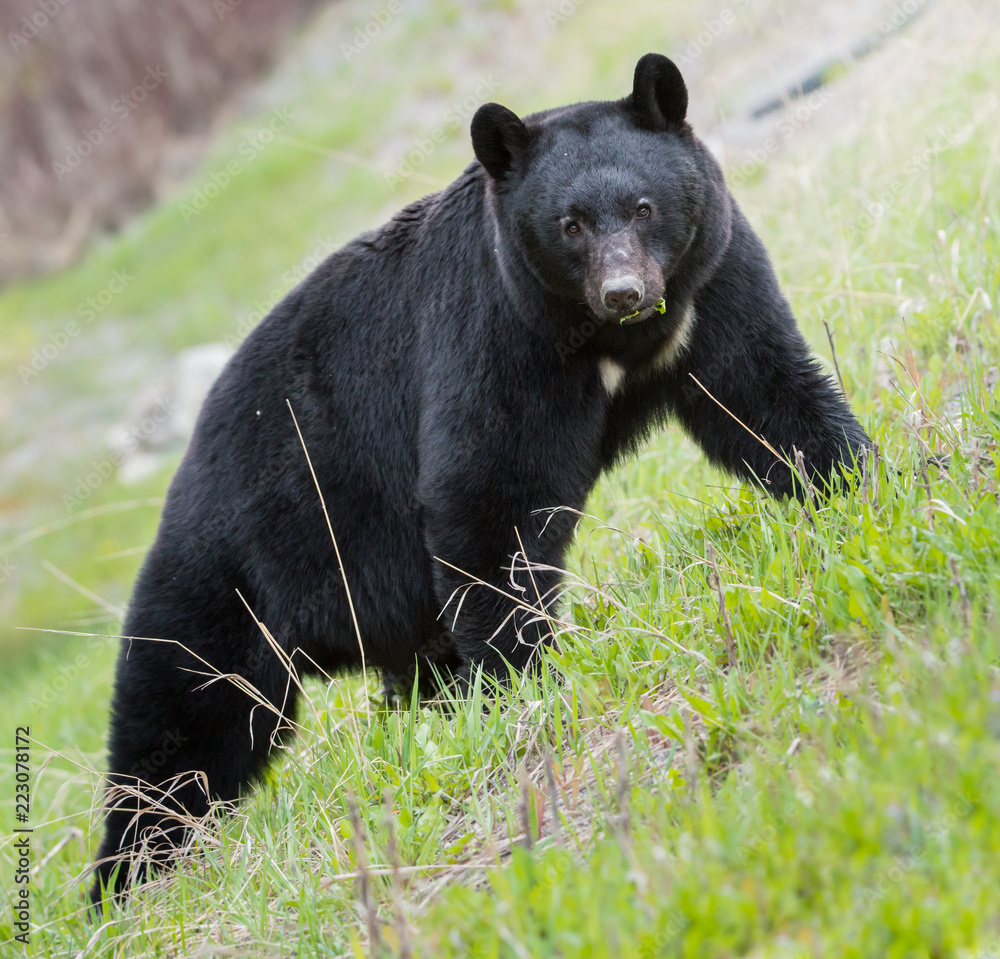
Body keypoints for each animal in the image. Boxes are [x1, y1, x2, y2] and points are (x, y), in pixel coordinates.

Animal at [90, 52, 872, 904]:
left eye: (644, 206)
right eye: (570, 223)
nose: (625, 292)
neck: (605, 340)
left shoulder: (708, 278)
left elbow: (760, 388)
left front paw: (865, 479)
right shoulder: (495, 332)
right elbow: (491, 494)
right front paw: (521, 677)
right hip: (237, 575)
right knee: (182, 726)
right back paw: (127, 879)